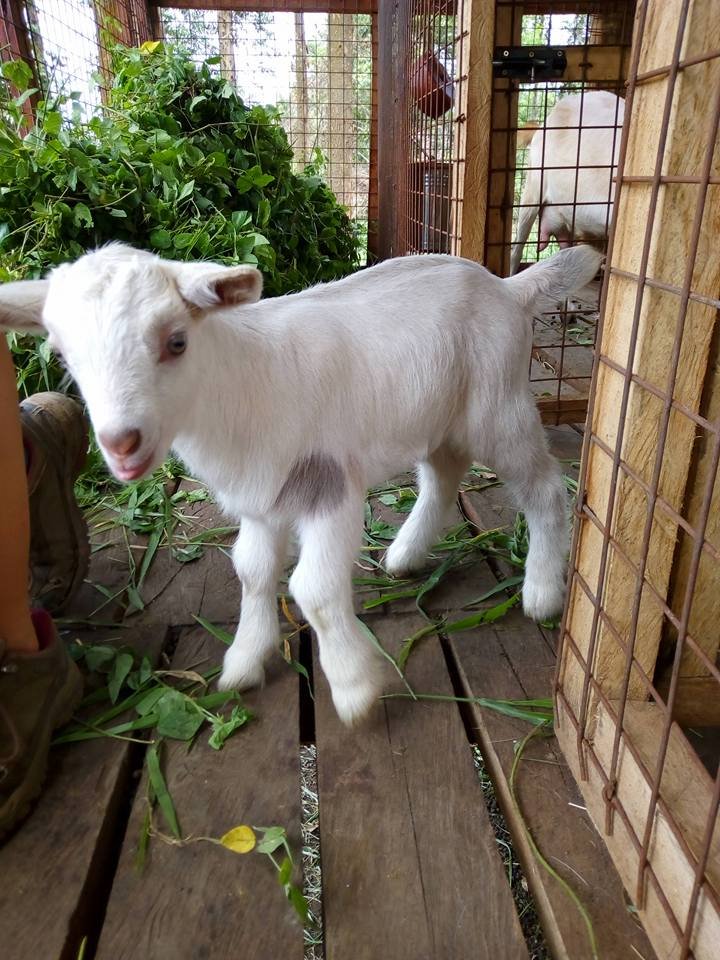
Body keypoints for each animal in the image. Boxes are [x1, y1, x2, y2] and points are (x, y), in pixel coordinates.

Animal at [0, 244, 601, 723]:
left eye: (176, 341)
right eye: (63, 353)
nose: (121, 442)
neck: (240, 384)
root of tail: (508, 288)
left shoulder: (328, 485)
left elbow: (312, 589)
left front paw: (355, 687)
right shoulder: (262, 501)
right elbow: (251, 571)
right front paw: (244, 660)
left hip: (499, 407)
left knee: (544, 489)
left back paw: (542, 593)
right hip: (435, 413)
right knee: (442, 475)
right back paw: (406, 555)